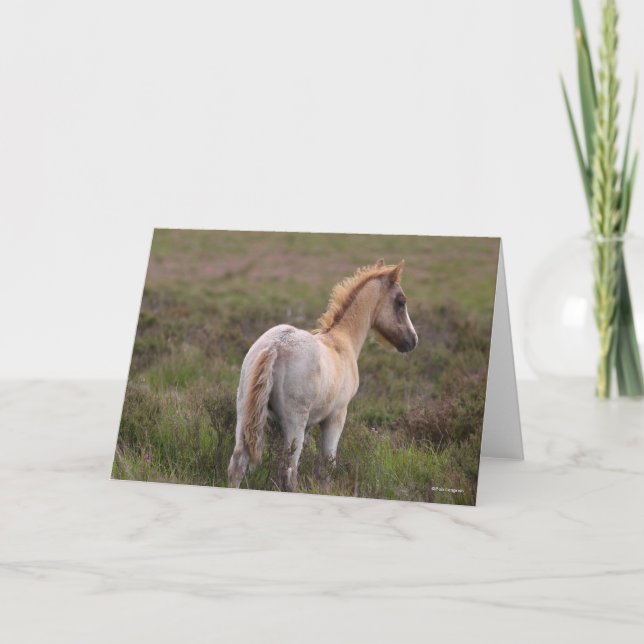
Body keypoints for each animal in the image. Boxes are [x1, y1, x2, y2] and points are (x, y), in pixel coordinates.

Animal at [226, 258, 418, 492]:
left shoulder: (306, 425)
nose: (412, 340)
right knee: (289, 473)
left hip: (245, 414)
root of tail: (275, 346)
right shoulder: (336, 416)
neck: (341, 340)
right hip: (294, 422)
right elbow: (326, 466)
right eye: (401, 301)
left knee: (238, 464)